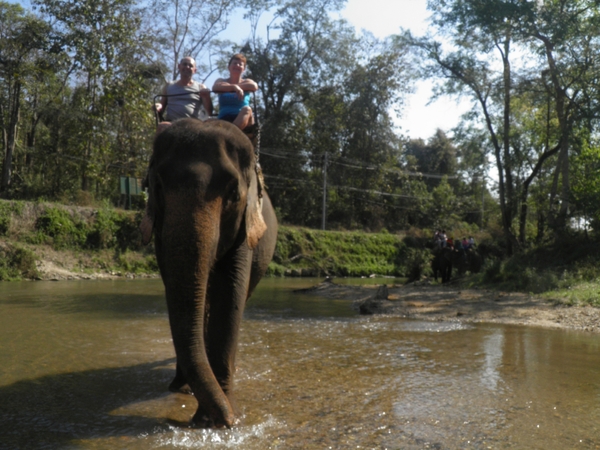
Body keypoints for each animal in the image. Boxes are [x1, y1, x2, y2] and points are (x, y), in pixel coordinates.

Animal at [143, 118, 278, 428]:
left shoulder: (244, 231)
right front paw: (183, 392)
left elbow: (230, 297)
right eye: (158, 186)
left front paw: (214, 417)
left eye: (233, 195)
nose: (228, 421)